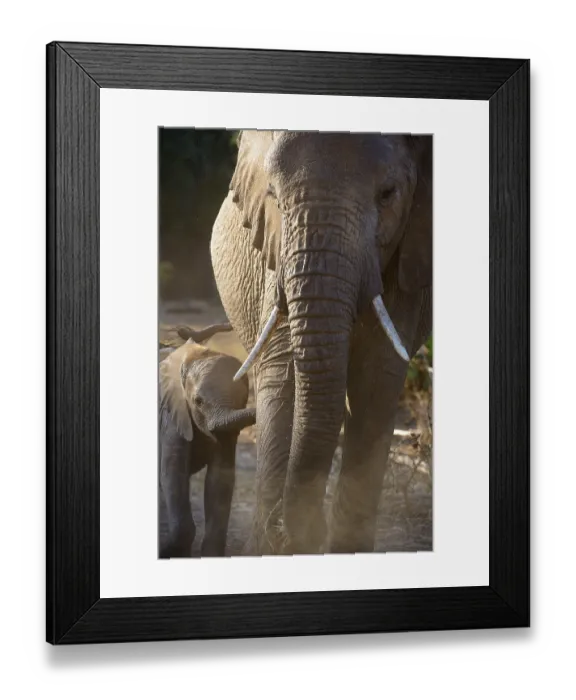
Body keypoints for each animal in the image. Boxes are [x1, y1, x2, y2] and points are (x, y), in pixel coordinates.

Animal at [158, 323, 256, 558]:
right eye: (198, 401)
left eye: (242, 399)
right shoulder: (172, 414)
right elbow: (172, 472)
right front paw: (170, 551)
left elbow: (220, 478)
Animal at [209, 130, 432, 555]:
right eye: (273, 196)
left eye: (388, 194)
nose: (286, 529)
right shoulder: (276, 250)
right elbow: (282, 370)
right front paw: (270, 548)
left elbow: (376, 379)